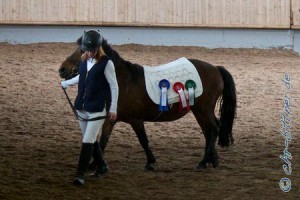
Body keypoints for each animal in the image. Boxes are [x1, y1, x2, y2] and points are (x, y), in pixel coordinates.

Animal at [58, 38, 237, 171]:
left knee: (214, 129)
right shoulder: (111, 118)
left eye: (82, 51)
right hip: (199, 111)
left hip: (203, 109)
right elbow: (103, 140)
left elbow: (143, 140)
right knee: (210, 131)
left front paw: (150, 162)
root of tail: (216, 69)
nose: (62, 69)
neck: (122, 82)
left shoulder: (136, 120)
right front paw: (94, 165)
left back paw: (203, 162)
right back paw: (212, 160)